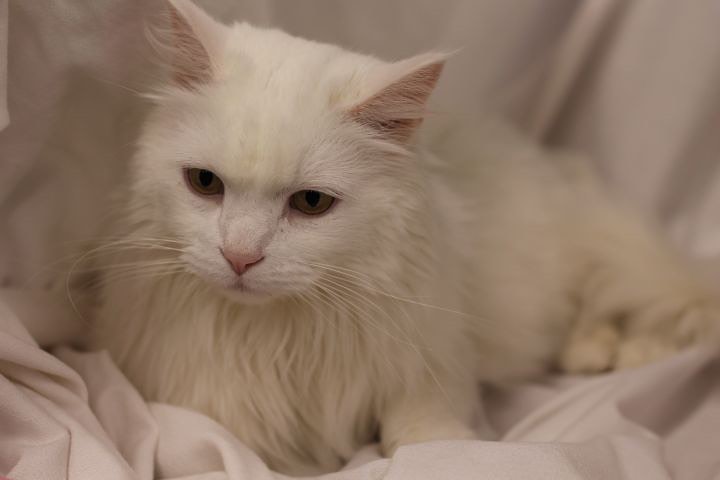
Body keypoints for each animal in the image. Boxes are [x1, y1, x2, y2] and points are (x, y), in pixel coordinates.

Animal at [90, 0, 720, 472]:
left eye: (311, 203)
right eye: (205, 184)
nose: (239, 257)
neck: (283, 337)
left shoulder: (428, 358)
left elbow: (424, 433)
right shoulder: (203, 406)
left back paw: (614, 353)